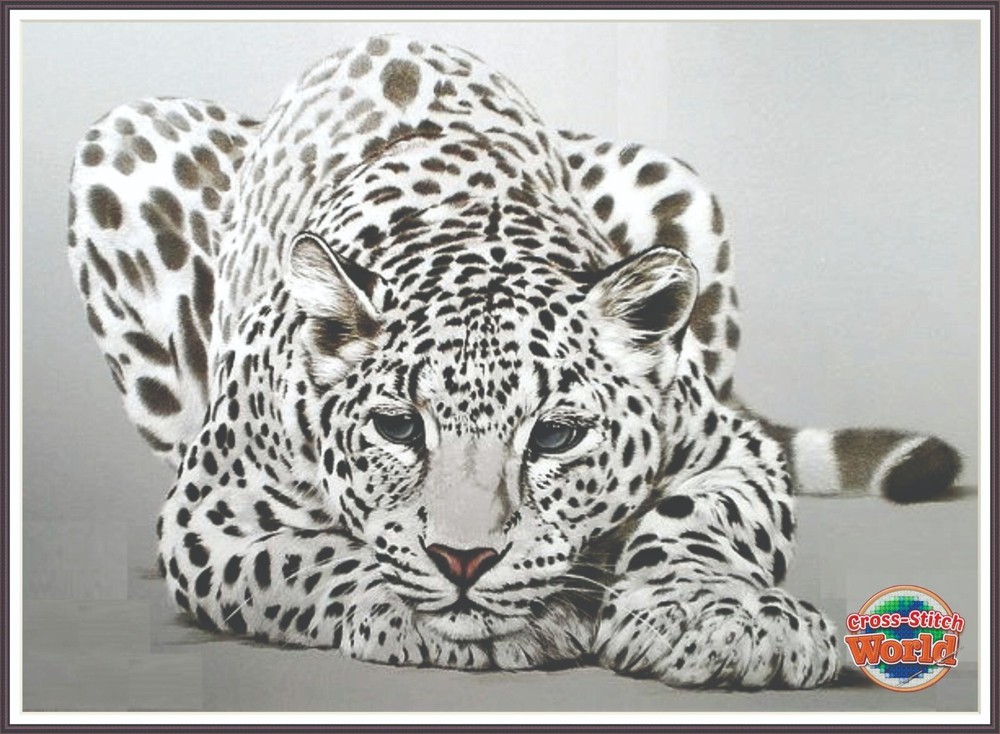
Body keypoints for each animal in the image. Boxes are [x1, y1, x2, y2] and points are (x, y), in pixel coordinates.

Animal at [67, 35, 961, 689]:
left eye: (556, 437)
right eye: (398, 428)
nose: (463, 560)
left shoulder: (728, 451)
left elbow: (699, 520)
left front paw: (723, 620)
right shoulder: (211, 511)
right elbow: (305, 555)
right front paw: (424, 610)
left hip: (679, 187)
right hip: (124, 147)